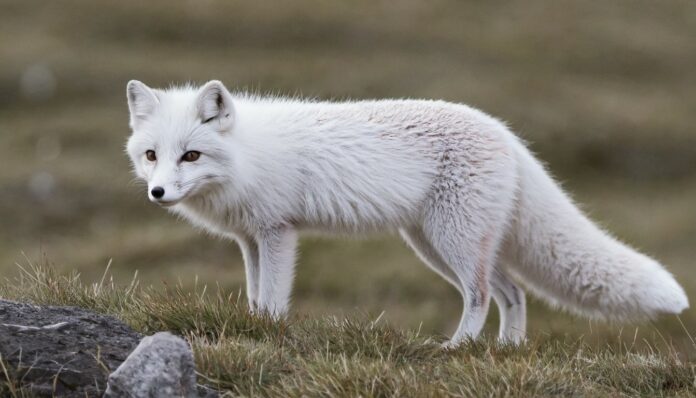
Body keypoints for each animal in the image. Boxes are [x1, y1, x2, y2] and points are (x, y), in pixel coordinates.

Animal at [125, 80, 684, 346]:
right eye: (151, 155)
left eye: (191, 155)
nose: (157, 193)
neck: (247, 154)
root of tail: (506, 133)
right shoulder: (250, 240)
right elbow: (253, 296)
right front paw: (254, 327)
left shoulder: (278, 232)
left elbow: (273, 298)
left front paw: (269, 334)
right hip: (435, 245)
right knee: (514, 292)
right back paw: (505, 352)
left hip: (452, 242)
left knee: (482, 295)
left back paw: (456, 349)